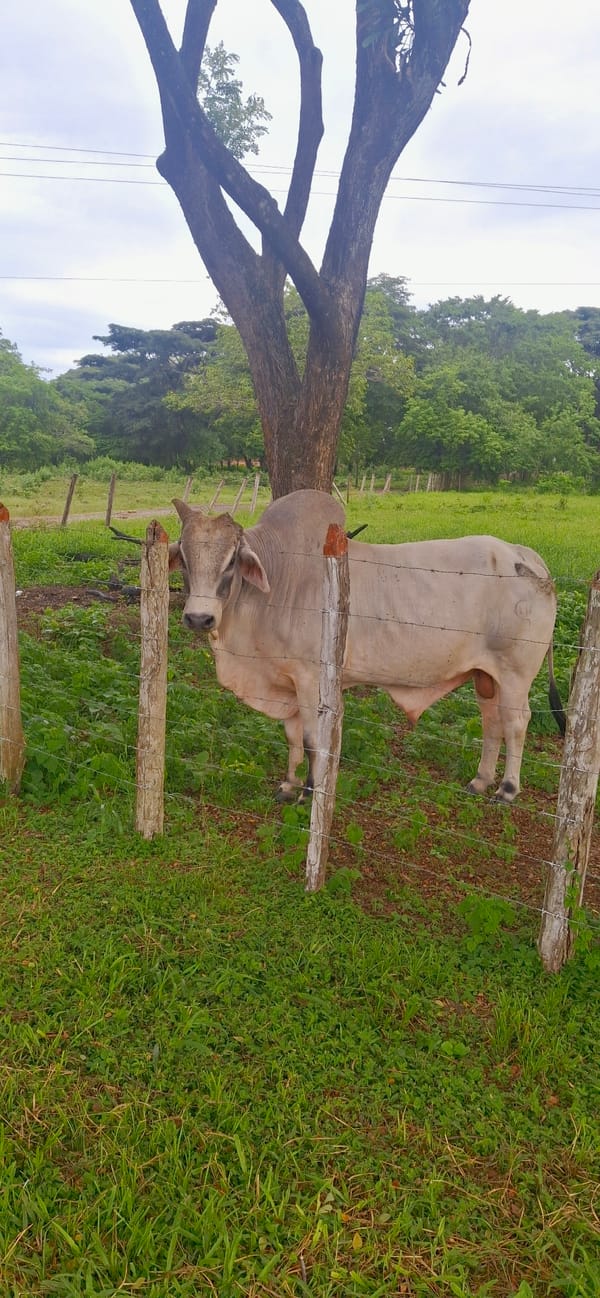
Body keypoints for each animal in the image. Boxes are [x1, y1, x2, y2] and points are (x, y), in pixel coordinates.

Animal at [169, 489, 565, 804]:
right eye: (184, 559)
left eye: (231, 560)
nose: (199, 618)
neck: (280, 578)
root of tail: (526, 555)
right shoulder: (288, 683)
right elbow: (292, 736)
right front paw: (287, 786)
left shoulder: (312, 681)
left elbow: (312, 740)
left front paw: (310, 791)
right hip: (486, 676)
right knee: (491, 721)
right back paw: (480, 781)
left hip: (515, 673)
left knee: (516, 722)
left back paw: (507, 789)